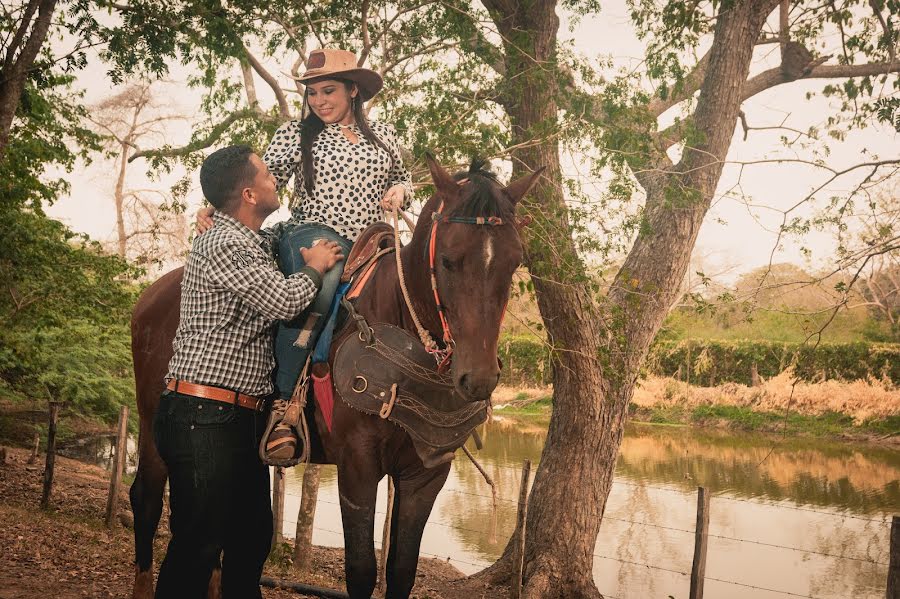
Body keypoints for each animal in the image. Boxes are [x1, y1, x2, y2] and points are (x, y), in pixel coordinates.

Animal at [128, 156, 540, 599]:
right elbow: (361, 570)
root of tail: (150, 296)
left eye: (515, 262)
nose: (478, 378)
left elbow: (401, 571)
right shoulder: (357, 464)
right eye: (448, 259)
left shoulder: (426, 475)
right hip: (154, 428)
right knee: (147, 500)